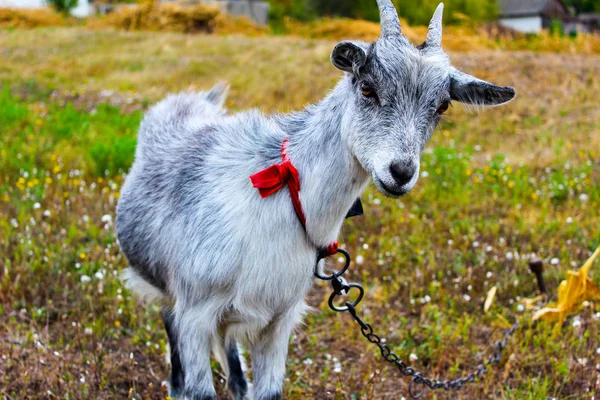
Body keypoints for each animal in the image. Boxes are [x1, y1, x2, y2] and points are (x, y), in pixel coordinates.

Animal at [117, 1, 516, 398]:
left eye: (443, 106)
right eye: (367, 88)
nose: (401, 171)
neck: (283, 197)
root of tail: (192, 99)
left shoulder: (278, 320)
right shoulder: (196, 313)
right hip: (169, 290)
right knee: (170, 319)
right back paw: (175, 384)